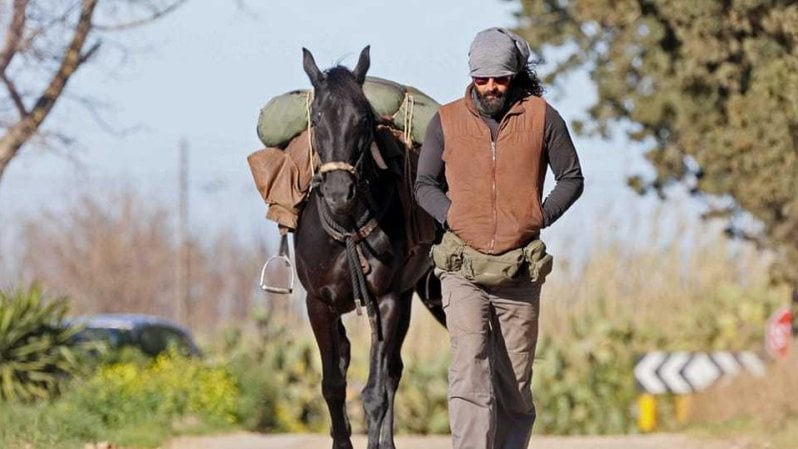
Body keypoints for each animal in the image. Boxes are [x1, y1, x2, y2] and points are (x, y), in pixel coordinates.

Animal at [294, 46, 444, 448]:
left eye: (363, 118)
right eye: (317, 118)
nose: (338, 192)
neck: (347, 231)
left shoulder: (386, 300)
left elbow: (375, 391)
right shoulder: (319, 304)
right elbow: (333, 384)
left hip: (413, 296)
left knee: (391, 371)